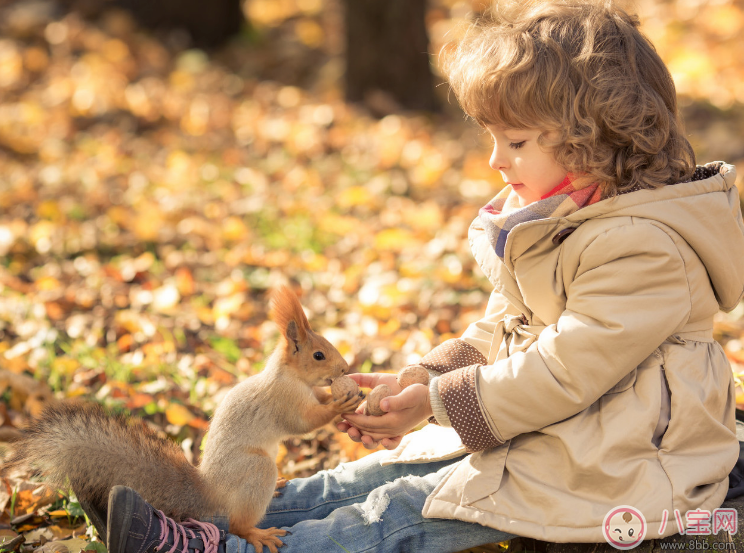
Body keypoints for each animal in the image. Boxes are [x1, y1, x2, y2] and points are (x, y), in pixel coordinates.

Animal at [5, 286, 366, 548]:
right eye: (318, 355)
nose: (345, 368)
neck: (290, 376)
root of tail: (211, 490)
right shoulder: (284, 401)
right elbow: (303, 423)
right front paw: (339, 405)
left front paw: (347, 394)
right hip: (256, 469)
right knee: (237, 525)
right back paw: (257, 534)